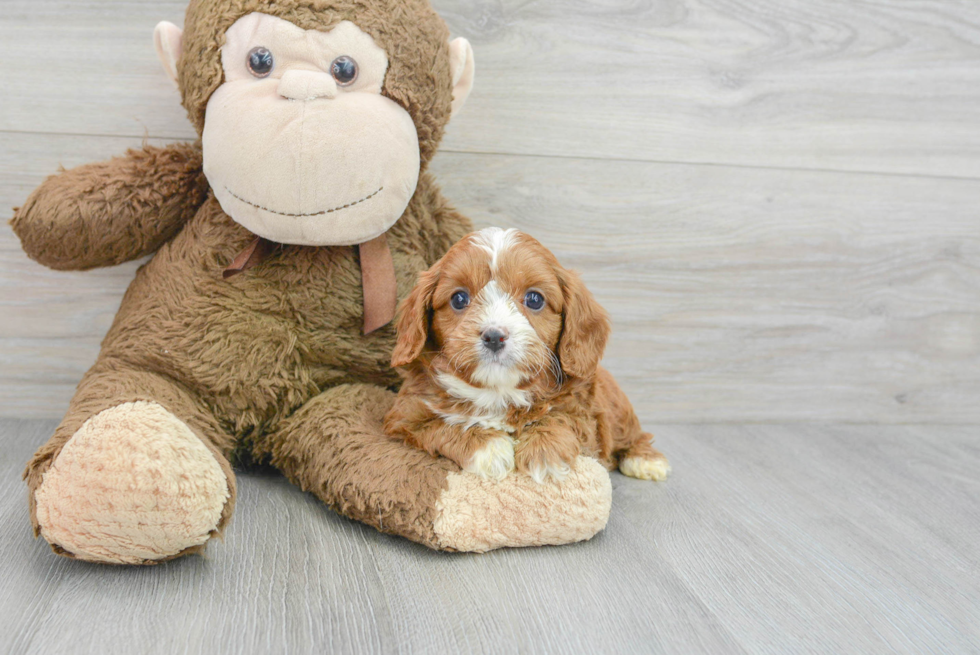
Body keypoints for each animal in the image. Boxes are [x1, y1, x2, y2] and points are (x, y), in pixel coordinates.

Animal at [386, 228, 668, 484]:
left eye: (534, 299)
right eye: (459, 299)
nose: (494, 336)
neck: (499, 391)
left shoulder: (585, 413)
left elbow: (561, 417)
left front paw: (544, 452)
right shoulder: (404, 418)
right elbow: (441, 425)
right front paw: (490, 449)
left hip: (620, 409)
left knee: (633, 435)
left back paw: (646, 460)